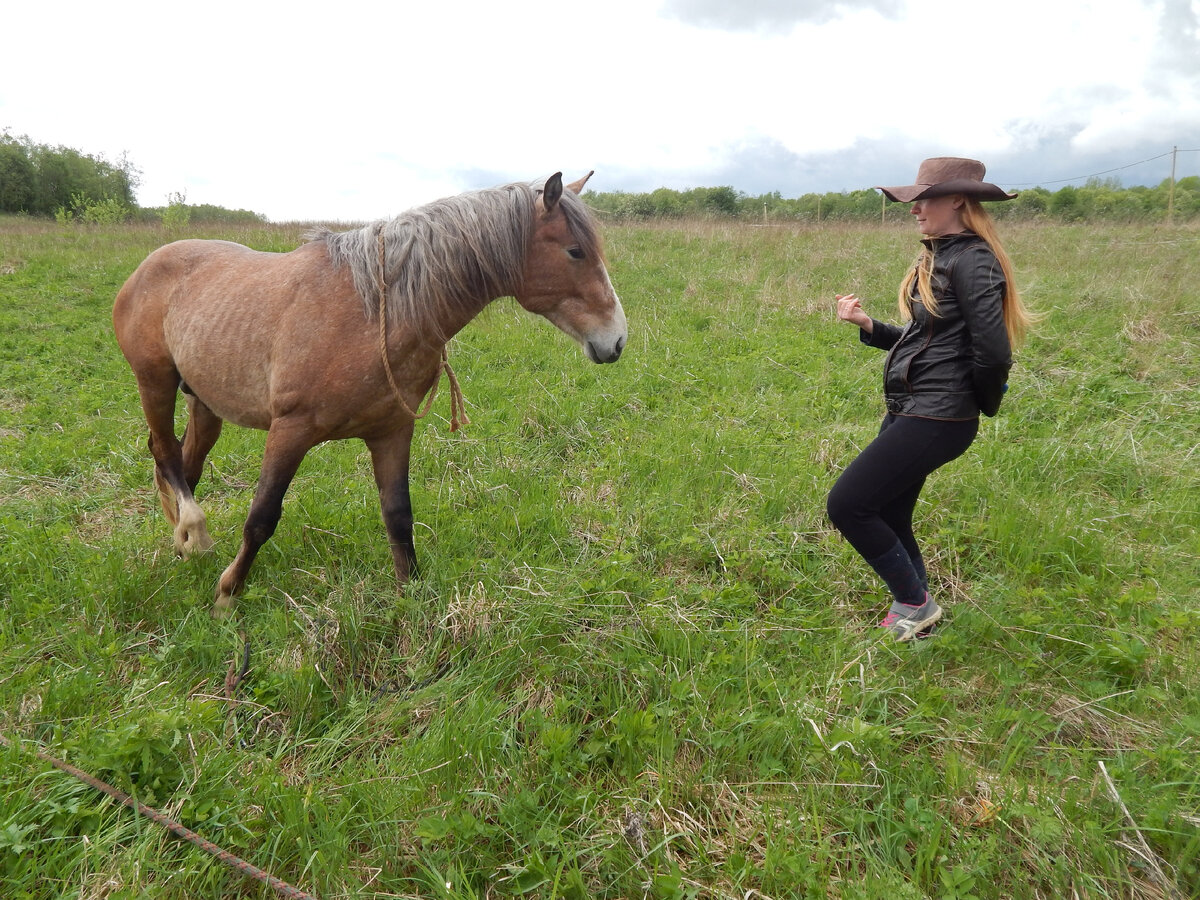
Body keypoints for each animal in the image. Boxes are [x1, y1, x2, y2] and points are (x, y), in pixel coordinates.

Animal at [112, 172, 628, 619]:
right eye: (575, 251)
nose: (616, 340)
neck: (378, 310)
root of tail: (146, 267)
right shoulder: (289, 430)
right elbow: (261, 517)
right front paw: (227, 596)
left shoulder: (391, 432)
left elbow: (398, 515)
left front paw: (411, 599)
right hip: (155, 383)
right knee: (165, 454)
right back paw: (193, 532)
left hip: (205, 402)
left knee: (186, 464)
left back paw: (182, 543)